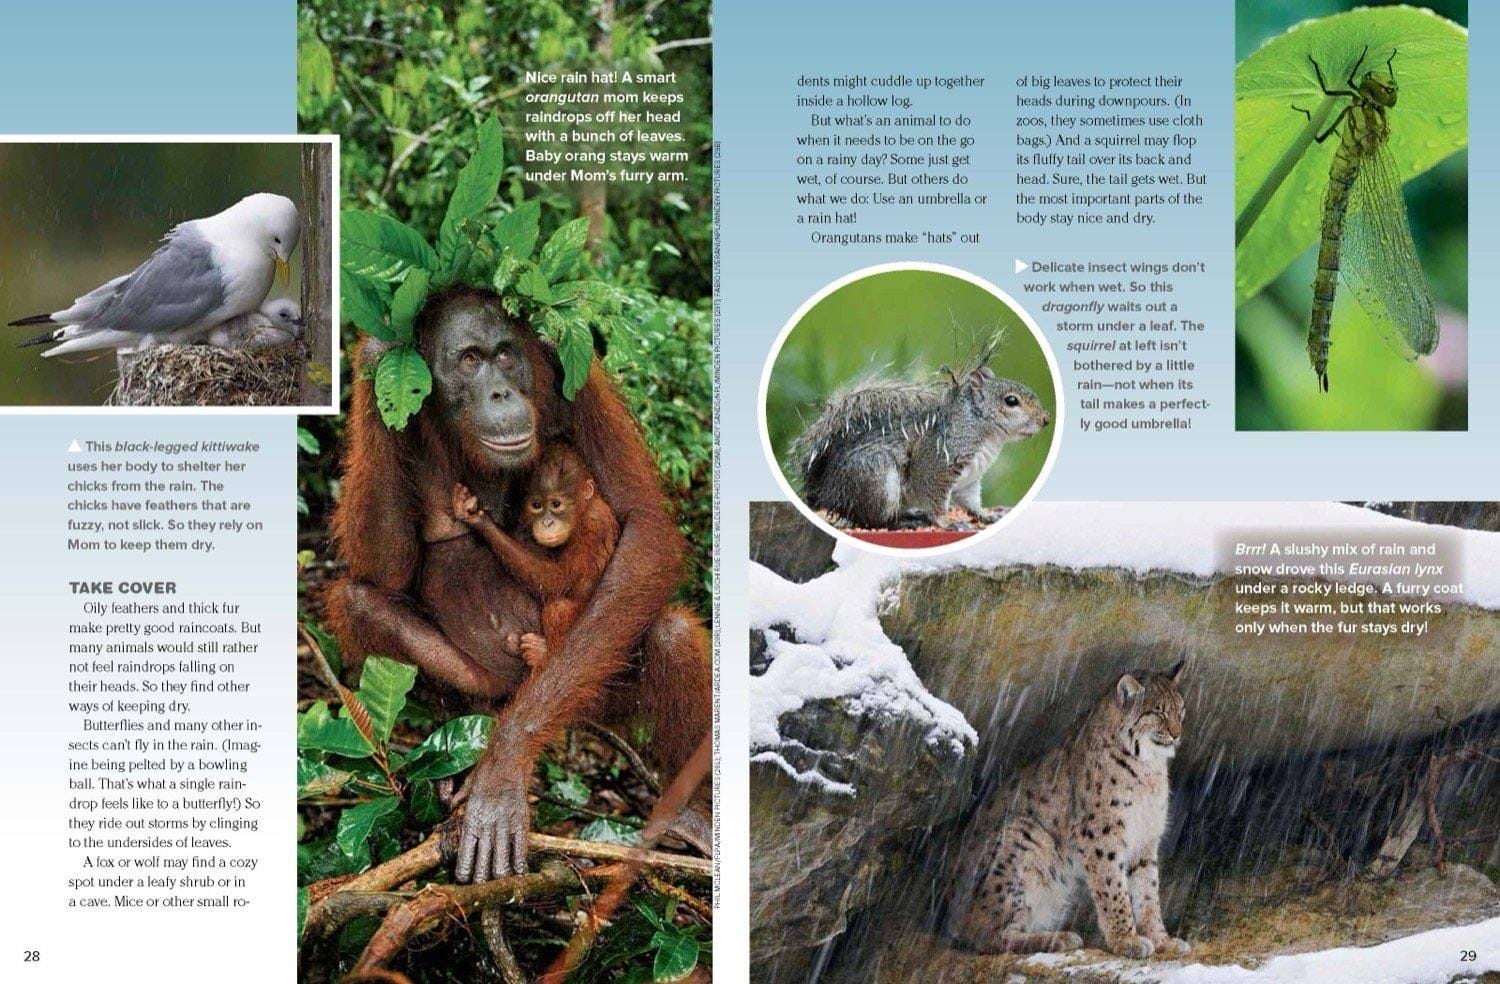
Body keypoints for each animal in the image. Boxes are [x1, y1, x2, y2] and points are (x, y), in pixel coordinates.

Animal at [450, 443, 619, 672]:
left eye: (556, 504)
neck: (584, 511)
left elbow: (557, 581)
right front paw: (473, 514)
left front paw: (481, 521)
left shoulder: (592, 527)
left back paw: (541, 652)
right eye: (536, 506)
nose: (547, 523)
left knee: (558, 608)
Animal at [790, 352, 1051, 530]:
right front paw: (946, 523)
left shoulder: (969, 480)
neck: (982, 432)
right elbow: (933, 497)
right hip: (876, 480)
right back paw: (904, 521)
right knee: (873, 520)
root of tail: (827, 493)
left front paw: (986, 516)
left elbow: (970, 502)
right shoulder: (935, 463)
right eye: (1011, 401)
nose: (1046, 419)